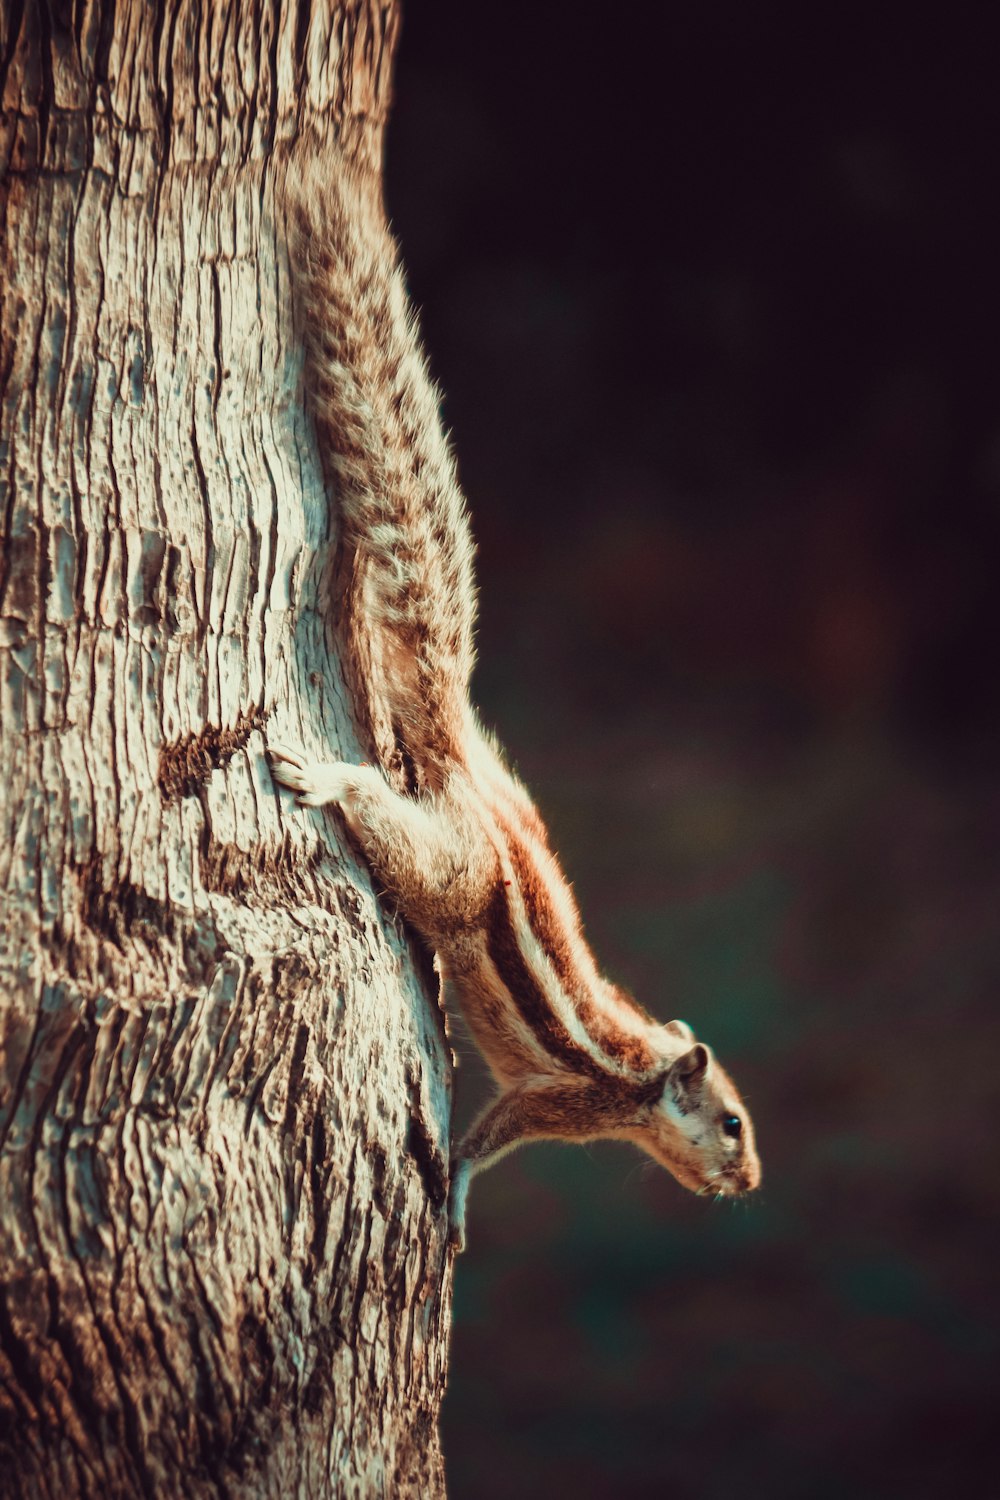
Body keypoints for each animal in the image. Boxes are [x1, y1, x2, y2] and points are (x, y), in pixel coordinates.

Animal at [269, 158, 761, 1248]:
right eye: (734, 1124)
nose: (751, 1184)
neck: (638, 1081)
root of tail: (471, 767)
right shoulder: (556, 1101)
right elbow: (482, 1141)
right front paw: (454, 1193)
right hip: (452, 874)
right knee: (391, 825)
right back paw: (328, 777)